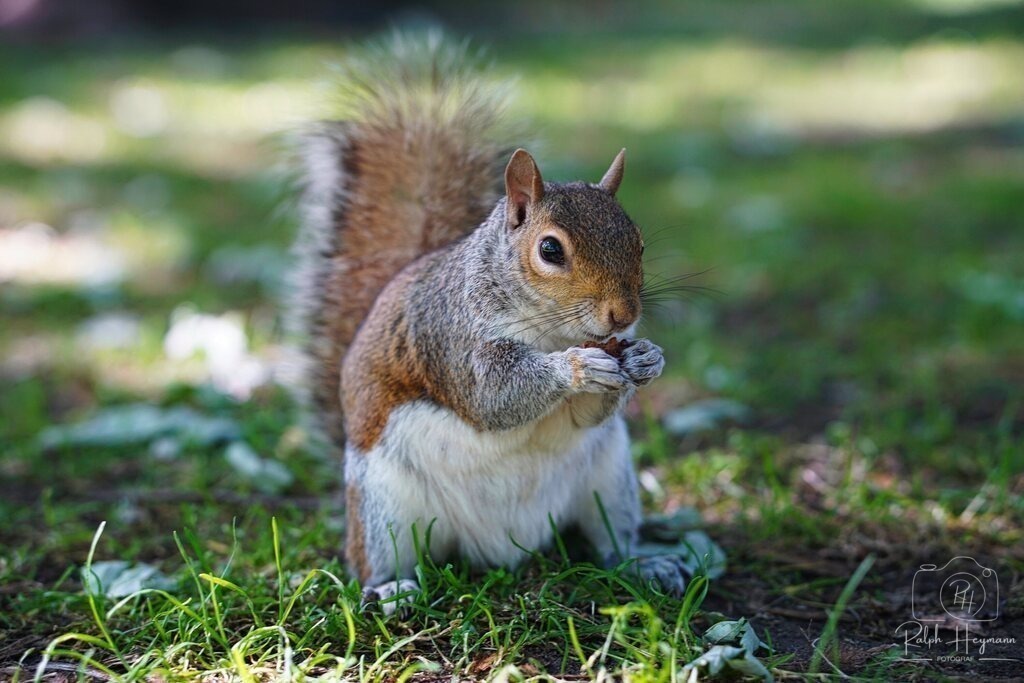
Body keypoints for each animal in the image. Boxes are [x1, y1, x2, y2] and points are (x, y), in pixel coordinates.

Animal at [291, 33, 687, 610]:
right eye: (549, 249)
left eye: (637, 242)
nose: (624, 314)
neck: (552, 328)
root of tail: (504, 549)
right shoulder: (451, 336)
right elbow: (491, 395)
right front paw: (575, 368)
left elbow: (584, 414)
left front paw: (647, 358)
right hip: (384, 504)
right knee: (376, 560)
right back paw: (391, 589)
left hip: (610, 481)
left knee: (609, 544)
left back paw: (645, 563)